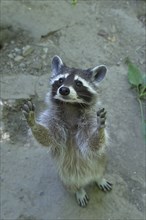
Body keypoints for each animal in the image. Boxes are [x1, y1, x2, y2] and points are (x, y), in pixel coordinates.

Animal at [22, 55, 112, 207]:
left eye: (78, 83)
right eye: (60, 80)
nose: (64, 90)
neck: (70, 106)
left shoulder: (88, 119)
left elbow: (92, 144)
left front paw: (99, 129)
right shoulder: (54, 118)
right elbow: (49, 138)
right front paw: (33, 124)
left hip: (102, 161)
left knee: (100, 168)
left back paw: (99, 178)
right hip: (65, 176)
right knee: (72, 183)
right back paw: (79, 190)